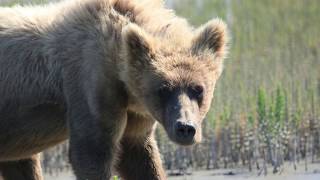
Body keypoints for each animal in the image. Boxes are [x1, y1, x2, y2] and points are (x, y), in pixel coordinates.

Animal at [0, 0, 228, 180]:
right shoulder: (91, 82)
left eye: (198, 89)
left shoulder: (135, 110)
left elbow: (139, 156)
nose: (185, 128)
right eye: (163, 89)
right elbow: (92, 151)